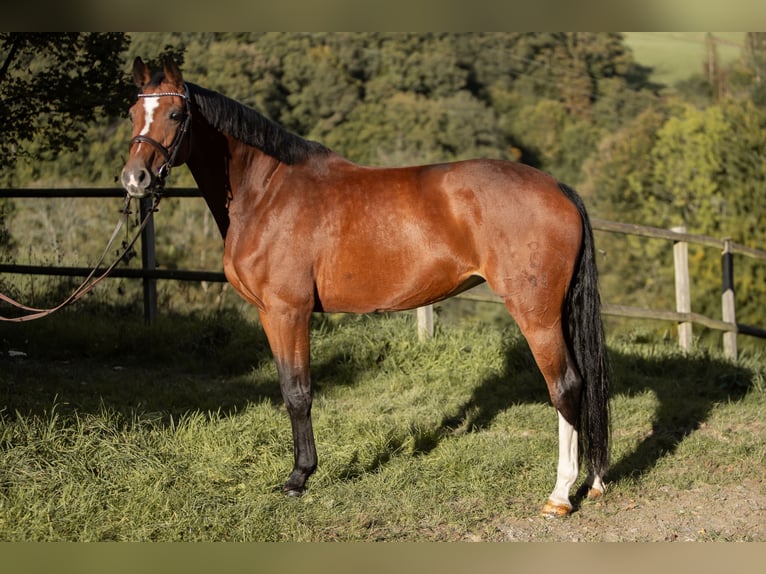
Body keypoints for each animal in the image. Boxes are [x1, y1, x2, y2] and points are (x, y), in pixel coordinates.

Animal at [121, 57, 612, 516]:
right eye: (131, 113)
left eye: (175, 114)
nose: (134, 178)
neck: (268, 193)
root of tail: (559, 188)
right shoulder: (268, 313)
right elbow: (287, 387)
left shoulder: (288, 311)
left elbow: (297, 393)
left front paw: (299, 478)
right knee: (583, 385)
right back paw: (595, 482)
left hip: (536, 315)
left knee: (566, 387)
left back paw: (560, 495)